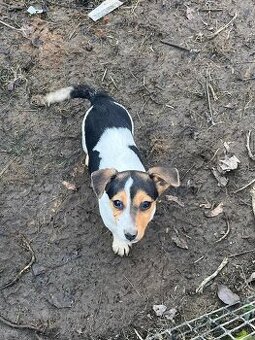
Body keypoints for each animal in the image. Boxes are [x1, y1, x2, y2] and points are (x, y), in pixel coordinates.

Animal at [43, 85, 180, 255]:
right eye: (117, 203)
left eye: (146, 205)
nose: (130, 235)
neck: (125, 166)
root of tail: (101, 99)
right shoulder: (107, 216)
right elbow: (115, 229)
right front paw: (120, 243)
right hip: (84, 133)